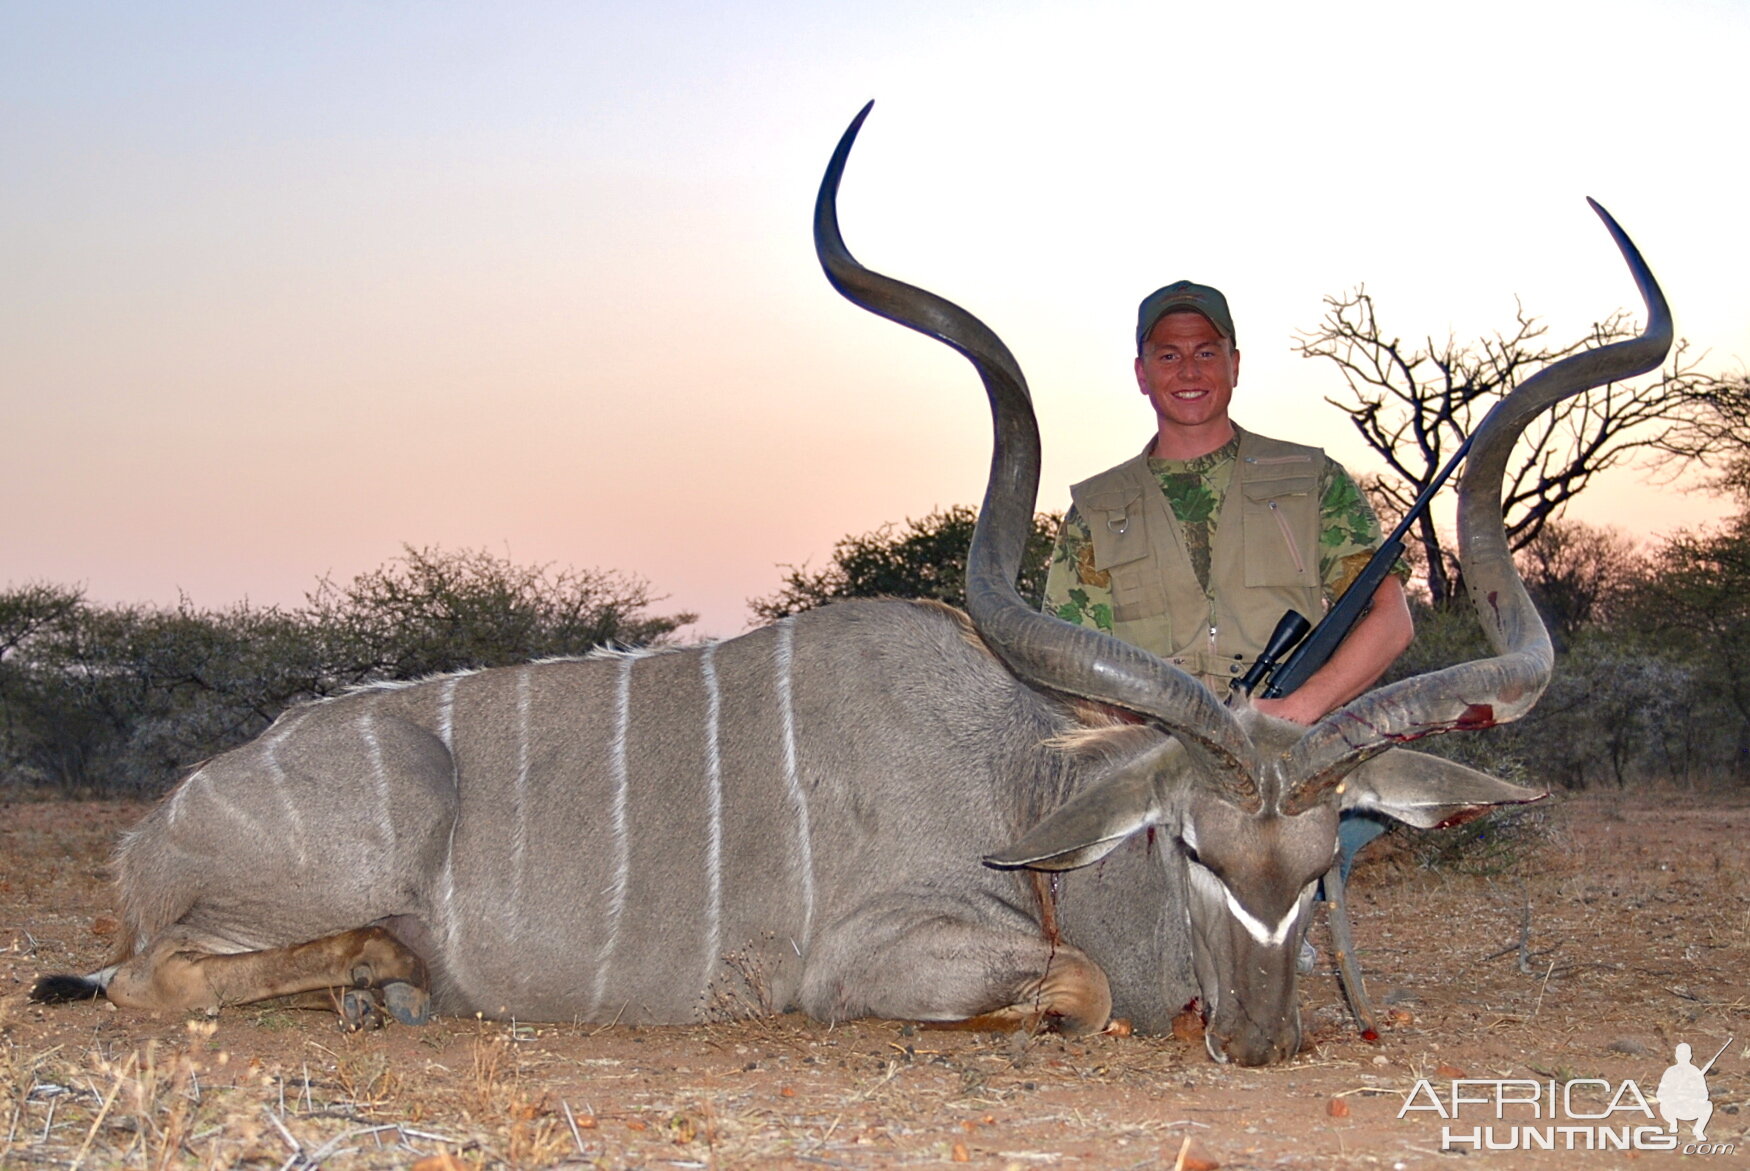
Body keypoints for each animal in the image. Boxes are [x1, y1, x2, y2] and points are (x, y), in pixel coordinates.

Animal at [23, 107, 1666, 1057]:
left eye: (1321, 856)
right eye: (1193, 848)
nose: (1260, 1042)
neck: (1019, 781)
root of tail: (155, 830)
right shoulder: (873, 954)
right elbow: (1070, 989)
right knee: (152, 977)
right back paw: (382, 967)